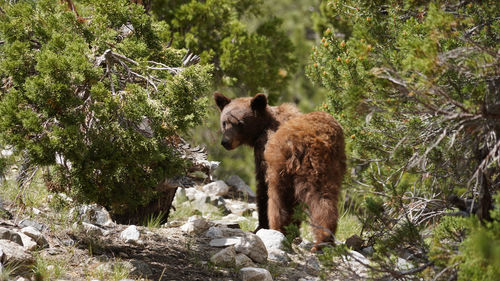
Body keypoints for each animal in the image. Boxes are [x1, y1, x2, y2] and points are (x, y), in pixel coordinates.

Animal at [213, 91, 346, 248]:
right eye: (224, 122)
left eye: (240, 123)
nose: (226, 142)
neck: (263, 127)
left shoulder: (263, 152)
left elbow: (263, 188)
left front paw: (260, 227)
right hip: (329, 167)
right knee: (324, 198)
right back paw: (324, 239)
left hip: (285, 167)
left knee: (279, 200)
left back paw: (279, 229)